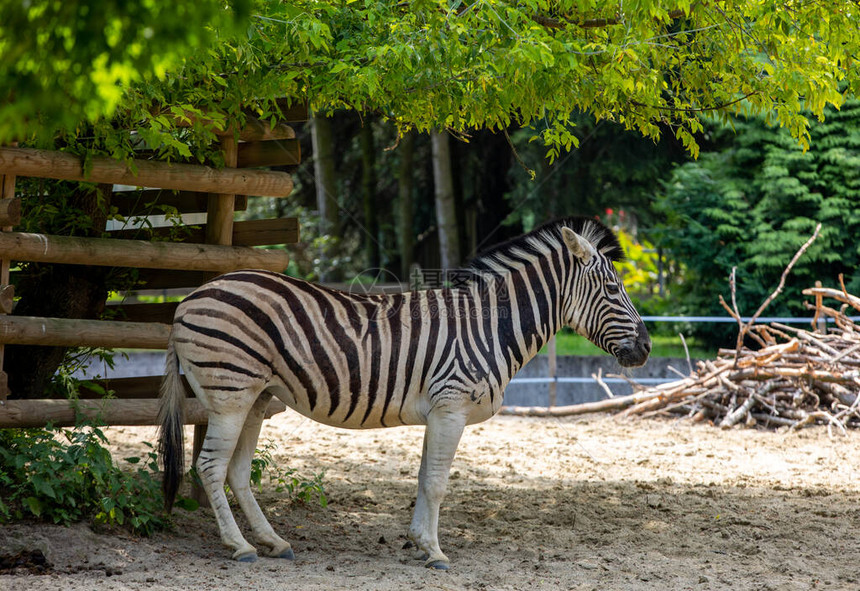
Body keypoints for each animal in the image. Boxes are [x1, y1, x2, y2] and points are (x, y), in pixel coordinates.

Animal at [158, 216, 648, 568]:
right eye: (612, 288)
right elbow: (436, 483)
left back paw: (273, 542)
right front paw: (436, 553)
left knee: (238, 471)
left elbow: (422, 478)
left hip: (255, 397)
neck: (490, 326)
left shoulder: (439, 411)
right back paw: (239, 547)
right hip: (230, 393)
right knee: (211, 466)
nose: (645, 348)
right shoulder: (451, 407)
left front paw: (419, 542)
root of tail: (190, 298)